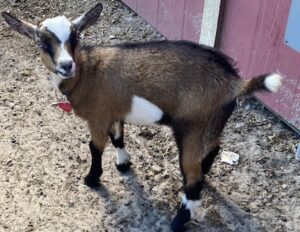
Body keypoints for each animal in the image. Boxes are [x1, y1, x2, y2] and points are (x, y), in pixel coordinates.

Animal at [2, 3, 284, 232]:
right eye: (41, 42)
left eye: (75, 36)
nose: (66, 65)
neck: (86, 73)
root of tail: (234, 82)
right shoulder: (114, 112)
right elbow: (118, 138)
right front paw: (124, 164)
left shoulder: (97, 116)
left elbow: (95, 147)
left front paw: (92, 179)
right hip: (212, 124)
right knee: (213, 150)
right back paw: (204, 176)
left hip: (192, 127)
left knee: (192, 178)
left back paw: (178, 221)